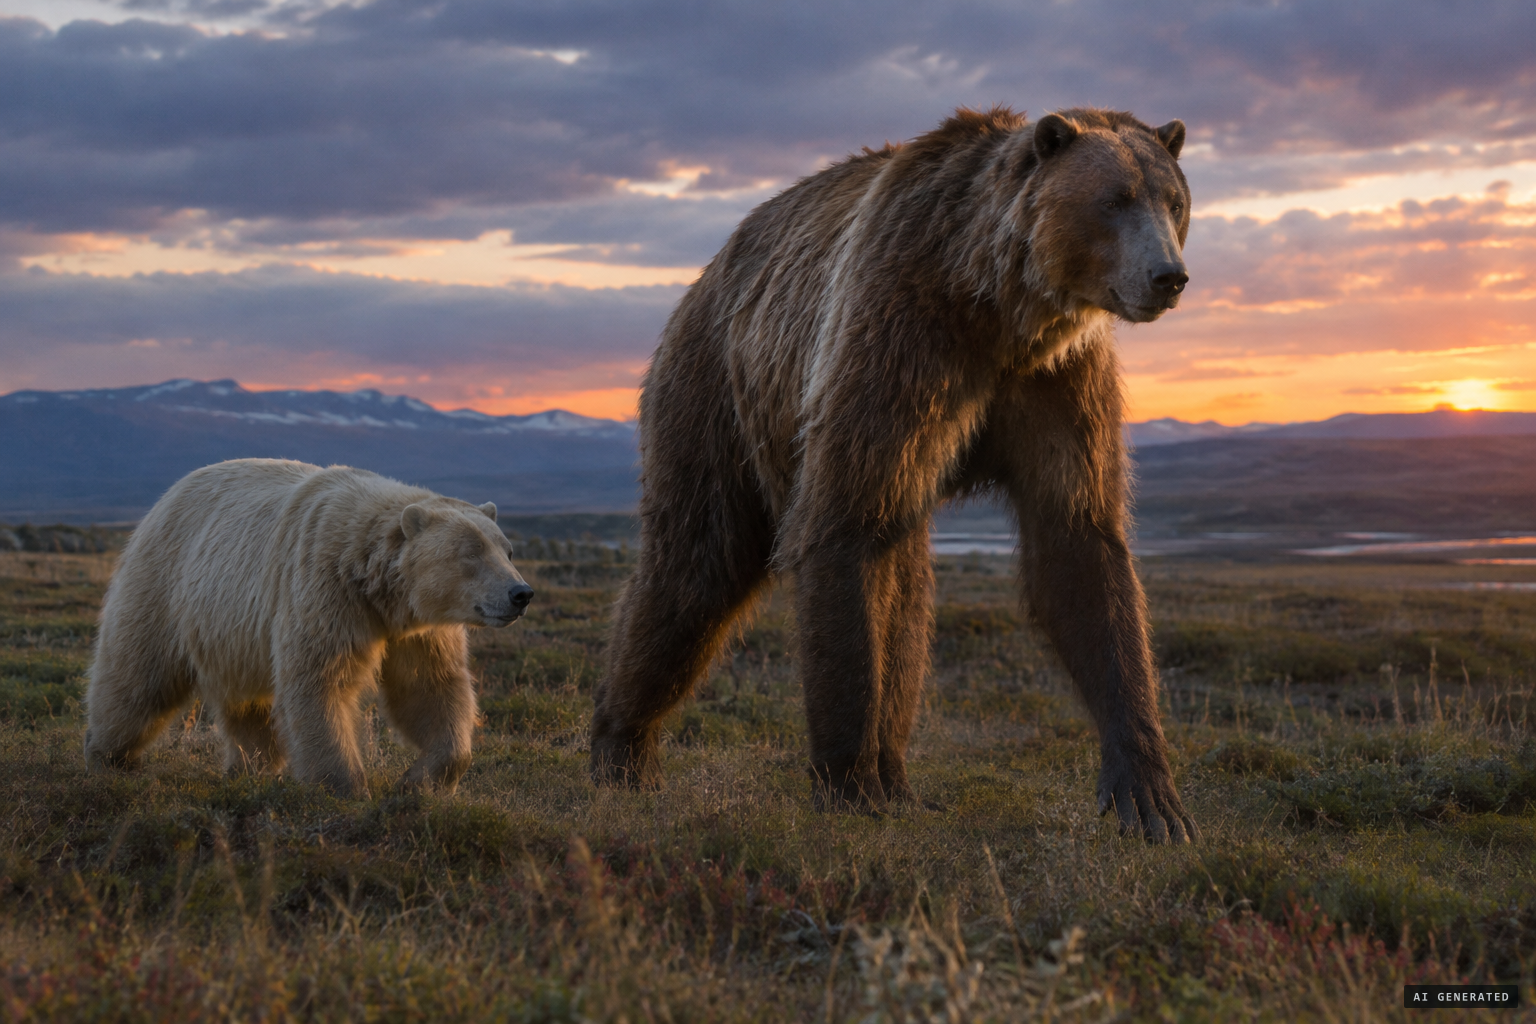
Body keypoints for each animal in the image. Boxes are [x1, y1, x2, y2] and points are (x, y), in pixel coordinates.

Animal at [83, 458, 534, 797]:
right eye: (471, 551)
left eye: (507, 549)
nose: (521, 593)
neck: (377, 587)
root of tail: (166, 497)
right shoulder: (325, 586)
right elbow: (320, 681)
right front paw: (346, 788)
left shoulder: (420, 629)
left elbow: (430, 687)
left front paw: (418, 782)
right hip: (166, 585)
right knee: (136, 677)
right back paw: (108, 756)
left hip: (232, 636)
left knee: (247, 704)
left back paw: (250, 766)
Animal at [590, 106, 1198, 843]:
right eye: (1114, 200)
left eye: (1173, 200)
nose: (1168, 276)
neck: (999, 309)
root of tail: (704, 276)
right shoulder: (900, 338)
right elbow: (844, 526)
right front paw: (849, 786)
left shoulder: (1059, 382)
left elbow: (1079, 545)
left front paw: (1150, 796)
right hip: (717, 388)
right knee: (695, 568)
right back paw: (622, 749)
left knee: (906, 593)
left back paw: (900, 779)